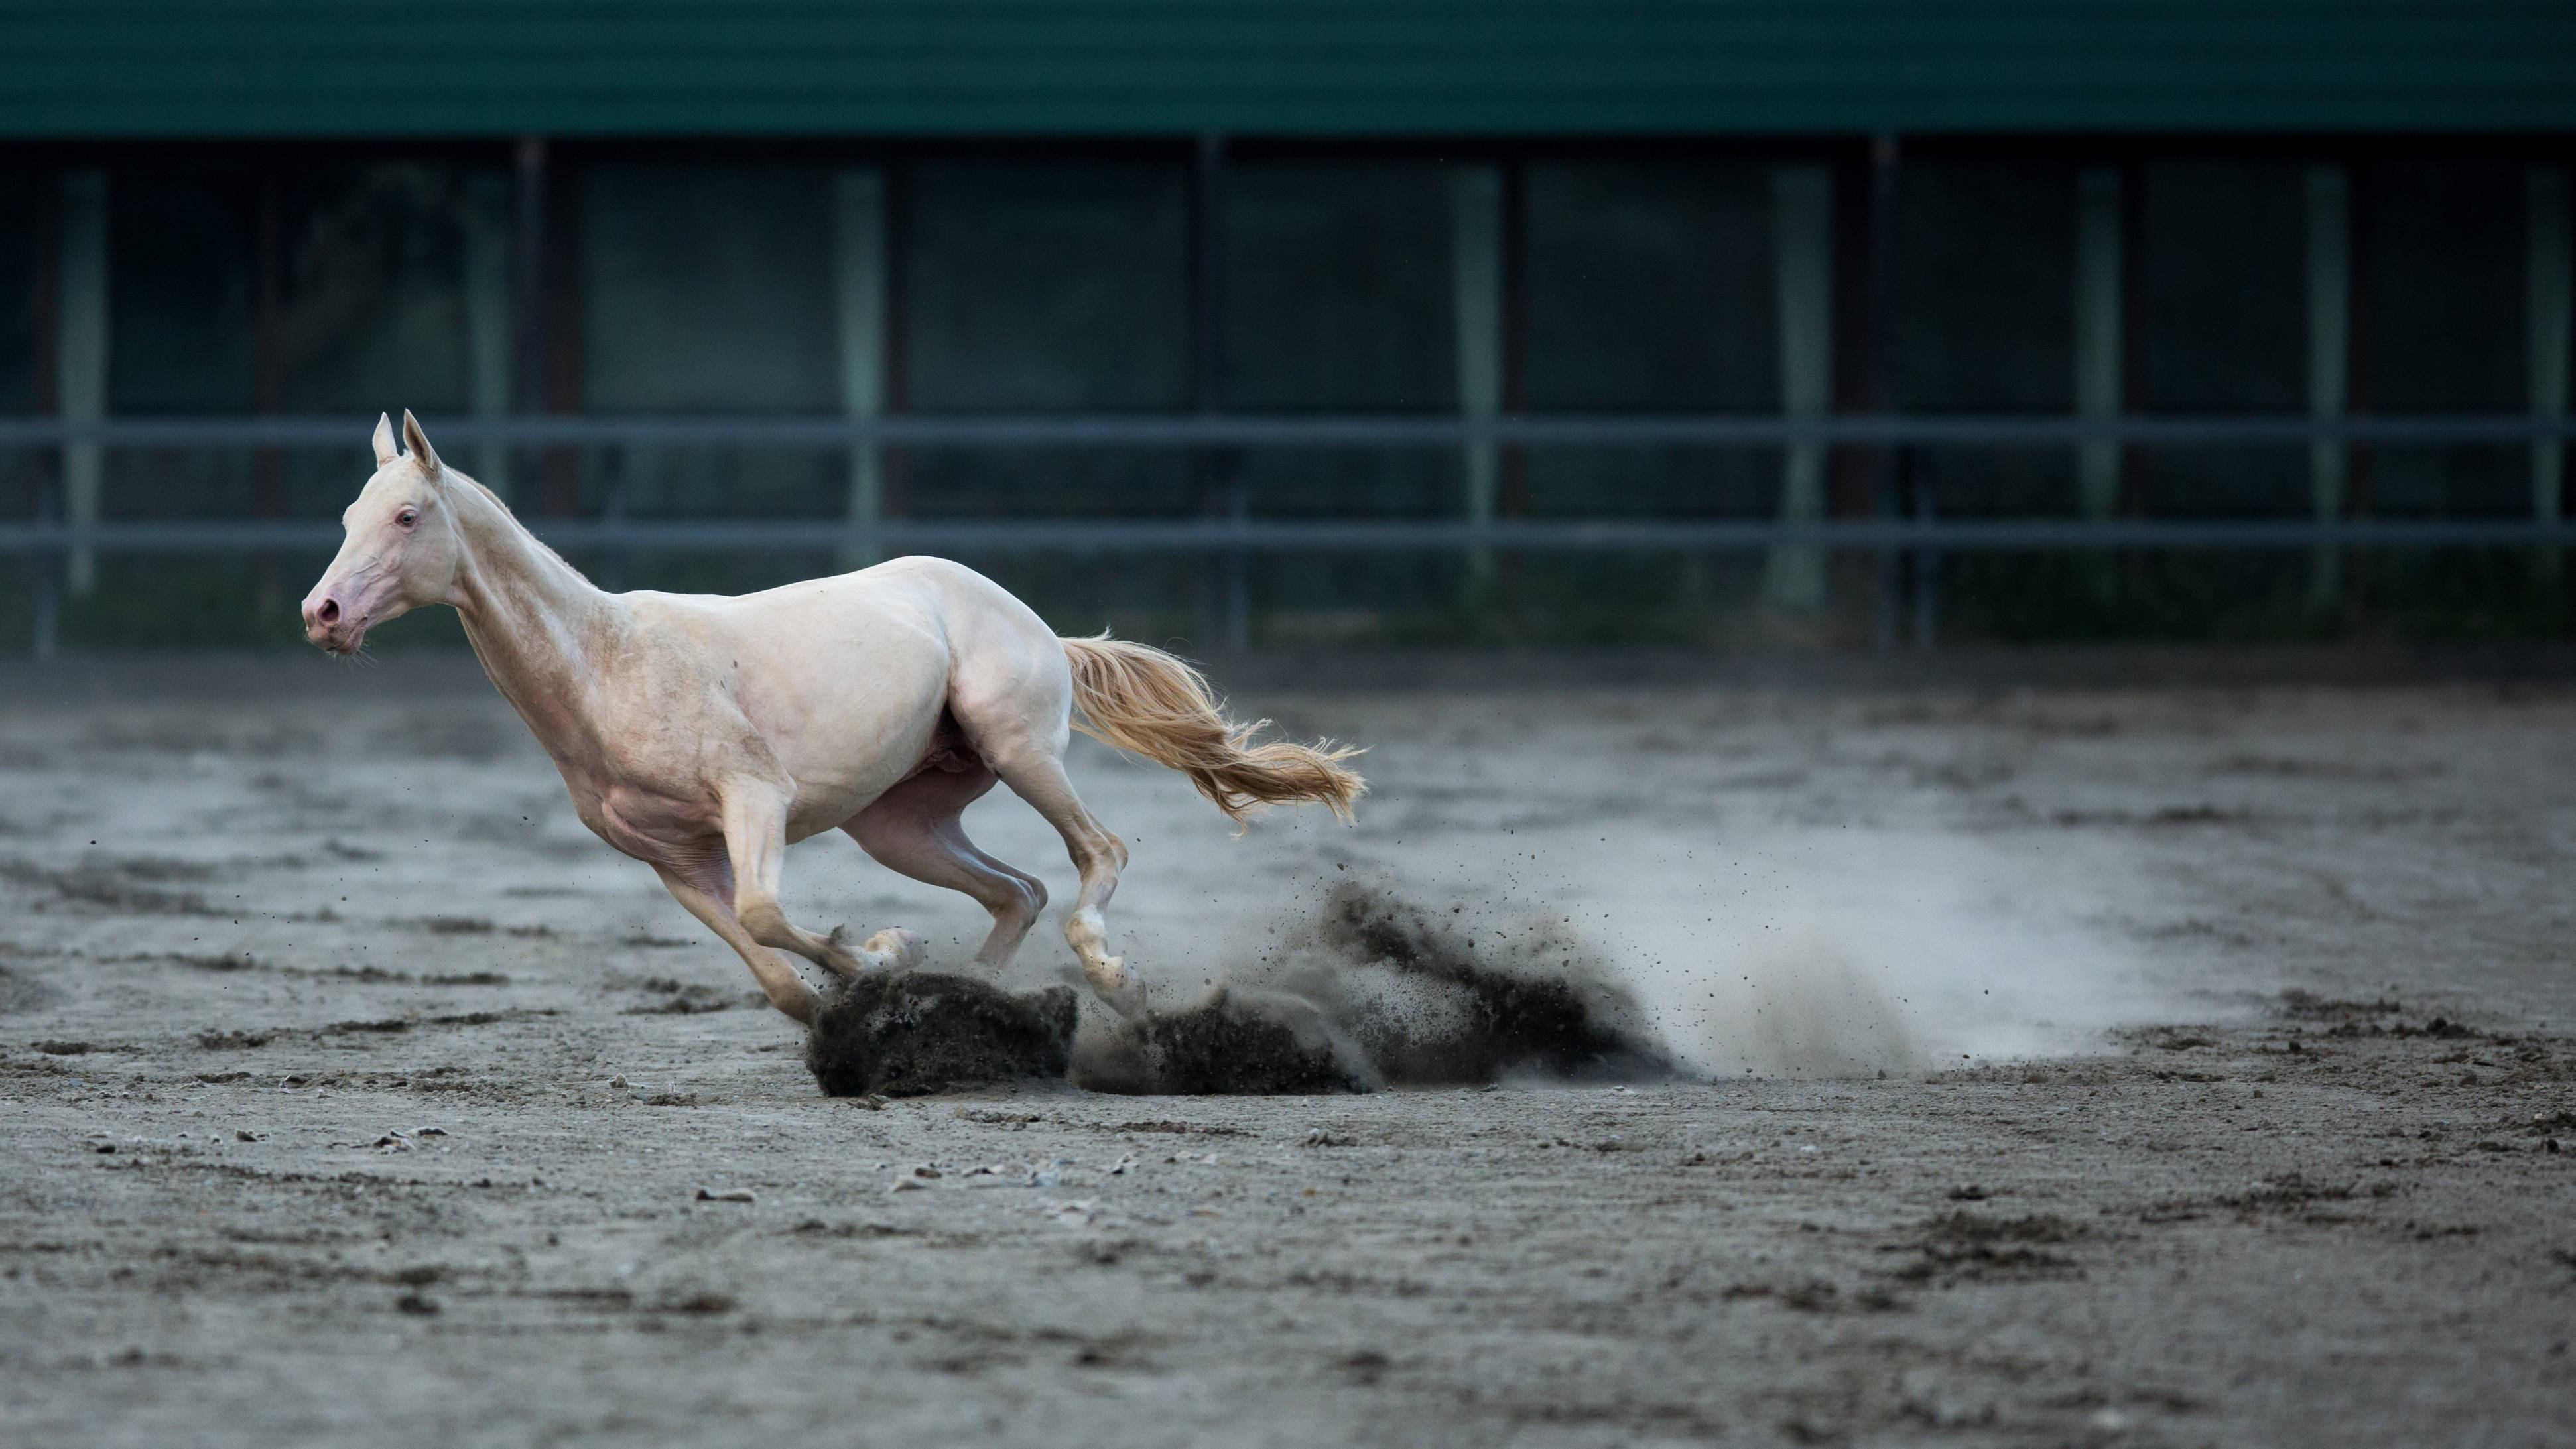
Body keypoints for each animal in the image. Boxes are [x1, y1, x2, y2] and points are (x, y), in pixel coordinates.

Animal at [304, 414, 1370, 1024]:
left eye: (406, 517)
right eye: (349, 514)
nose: (324, 613)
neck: (610, 665)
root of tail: (1039, 626)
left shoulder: (756, 799)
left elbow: (770, 916)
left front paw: (883, 955)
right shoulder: (671, 858)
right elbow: (771, 968)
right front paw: (866, 981)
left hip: (1019, 749)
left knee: (1095, 853)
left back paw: (1111, 977)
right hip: (898, 822)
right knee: (1017, 892)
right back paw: (978, 999)